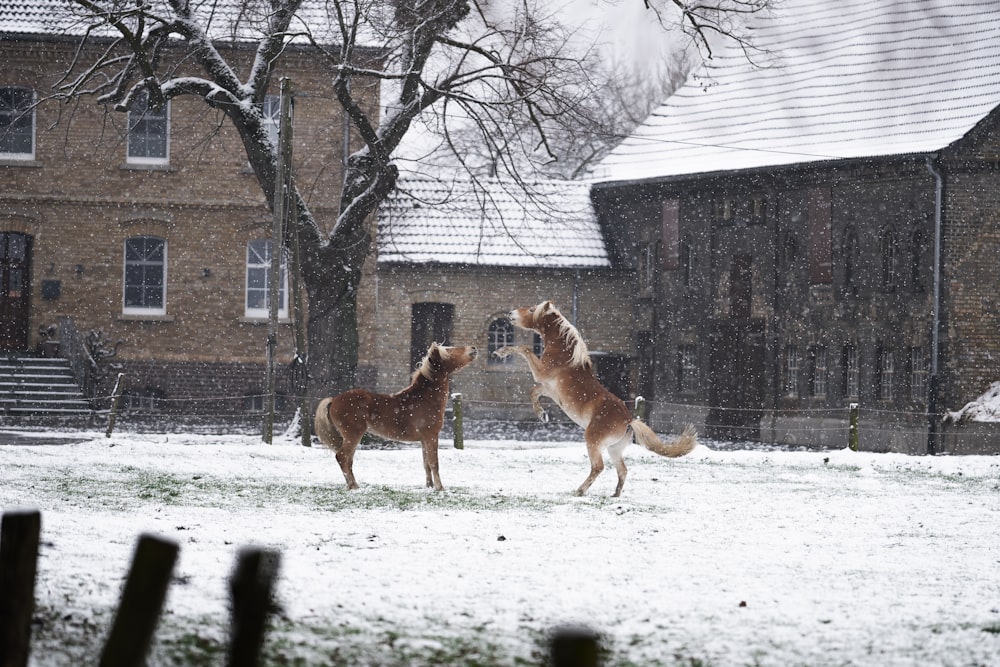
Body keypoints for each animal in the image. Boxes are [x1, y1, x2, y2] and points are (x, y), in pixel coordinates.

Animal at [316, 344, 480, 490]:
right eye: (449, 350)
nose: (473, 348)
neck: (425, 399)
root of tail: (333, 400)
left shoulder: (424, 440)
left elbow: (426, 463)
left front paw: (429, 486)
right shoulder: (431, 436)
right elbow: (434, 463)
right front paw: (440, 488)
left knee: (347, 460)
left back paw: (352, 485)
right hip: (353, 435)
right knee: (342, 457)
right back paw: (354, 486)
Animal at [494, 302, 696, 496]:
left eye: (531, 310)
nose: (510, 313)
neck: (563, 353)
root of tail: (629, 420)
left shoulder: (541, 373)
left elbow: (525, 349)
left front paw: (501, 352)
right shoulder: (548, 389)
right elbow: (533, 392)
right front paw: (542, 415)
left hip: (593, 441)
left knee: (598, 467)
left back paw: (580, 491)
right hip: (614, 449)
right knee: (622, 470)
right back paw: (615, 494)